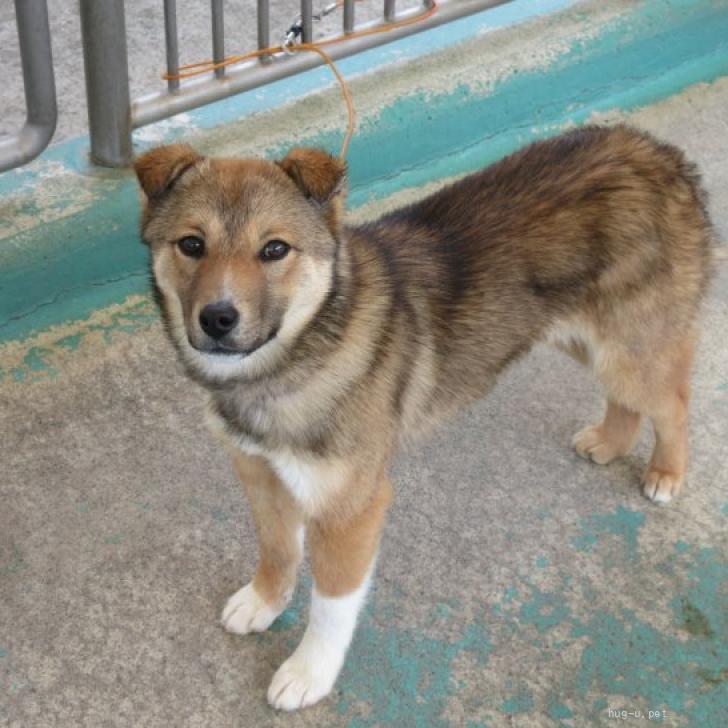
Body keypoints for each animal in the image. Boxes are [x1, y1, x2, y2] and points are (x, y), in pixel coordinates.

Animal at [134, 125, 714, 711]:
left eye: (275, 249)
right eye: (191, 244)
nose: (217, 318)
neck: (295, 355)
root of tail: (657, 151)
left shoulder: (350, 509)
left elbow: (332, 603)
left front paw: (309, 672)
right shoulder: (260, 474)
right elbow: (277, 549)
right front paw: (264, 602)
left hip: (631, 347)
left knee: (674, 401)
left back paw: (666, 472)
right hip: (584, 338)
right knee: (628, 400)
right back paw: (611, 442)